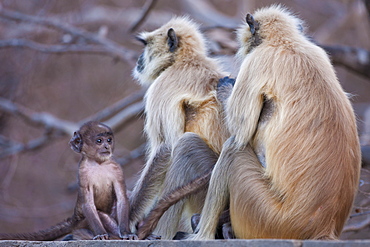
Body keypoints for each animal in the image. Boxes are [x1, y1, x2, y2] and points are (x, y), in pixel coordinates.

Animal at [0, 121, 137, 241]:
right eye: (99, 141)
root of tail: (74, 219)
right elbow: (88, 204)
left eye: (109, 140)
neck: (99, 164)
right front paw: (100, 234)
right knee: (100, 214)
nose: (107, 146)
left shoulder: (116, 168)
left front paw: (126, 233)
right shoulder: (82, 172)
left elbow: (122, 198)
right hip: (82, 222)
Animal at [129, 15, 228, 239]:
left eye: (146, 45)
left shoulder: (162, 86)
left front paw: (125, 220)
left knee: (185, 146)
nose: (139, 59)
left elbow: (165, 148)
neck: (184, 61)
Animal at [188, 5, 362, 240]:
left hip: (267, 217)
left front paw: (225, 88)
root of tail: (323, 227)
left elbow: (240, 130)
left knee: (234, 148)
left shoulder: (257, 61)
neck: (286, 41)